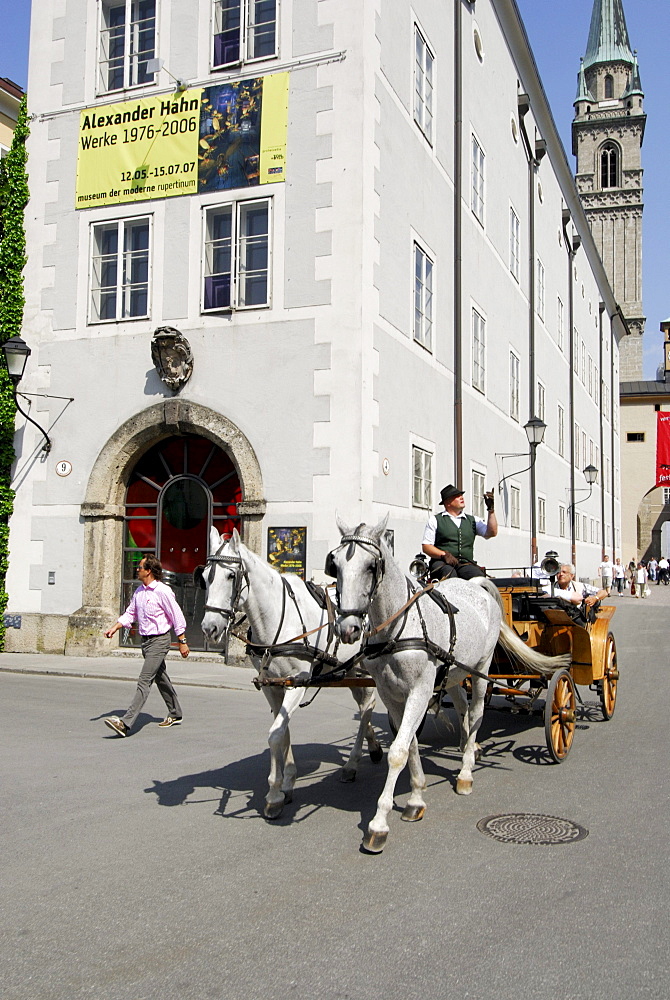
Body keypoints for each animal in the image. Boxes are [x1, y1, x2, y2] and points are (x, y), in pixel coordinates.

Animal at [200, 528, 384, 816]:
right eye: (205, 576)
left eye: (231, 576)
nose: (210, 628)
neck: (276, 618)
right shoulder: (272, 685)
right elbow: (283, 731)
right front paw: (287, 783)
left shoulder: (296, 683)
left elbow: (275, 734)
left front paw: (274, 793)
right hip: (350, 668)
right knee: (365, 705)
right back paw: (373, 748)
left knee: (368, 706)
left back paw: (353, 762)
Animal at [328, 516, 568, 852]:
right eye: (334, 564)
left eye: (371, 566)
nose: (348, 628)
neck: (397, 629)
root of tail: (476, 584)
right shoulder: (391, 694)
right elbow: (410, 743)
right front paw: (416, 798)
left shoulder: (419, 690)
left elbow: (398, 751)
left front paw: (378, 824)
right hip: (454, 672)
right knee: (464, 707)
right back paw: (469, 745)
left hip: (481, 668)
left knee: (477, 711)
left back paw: (467, 770)